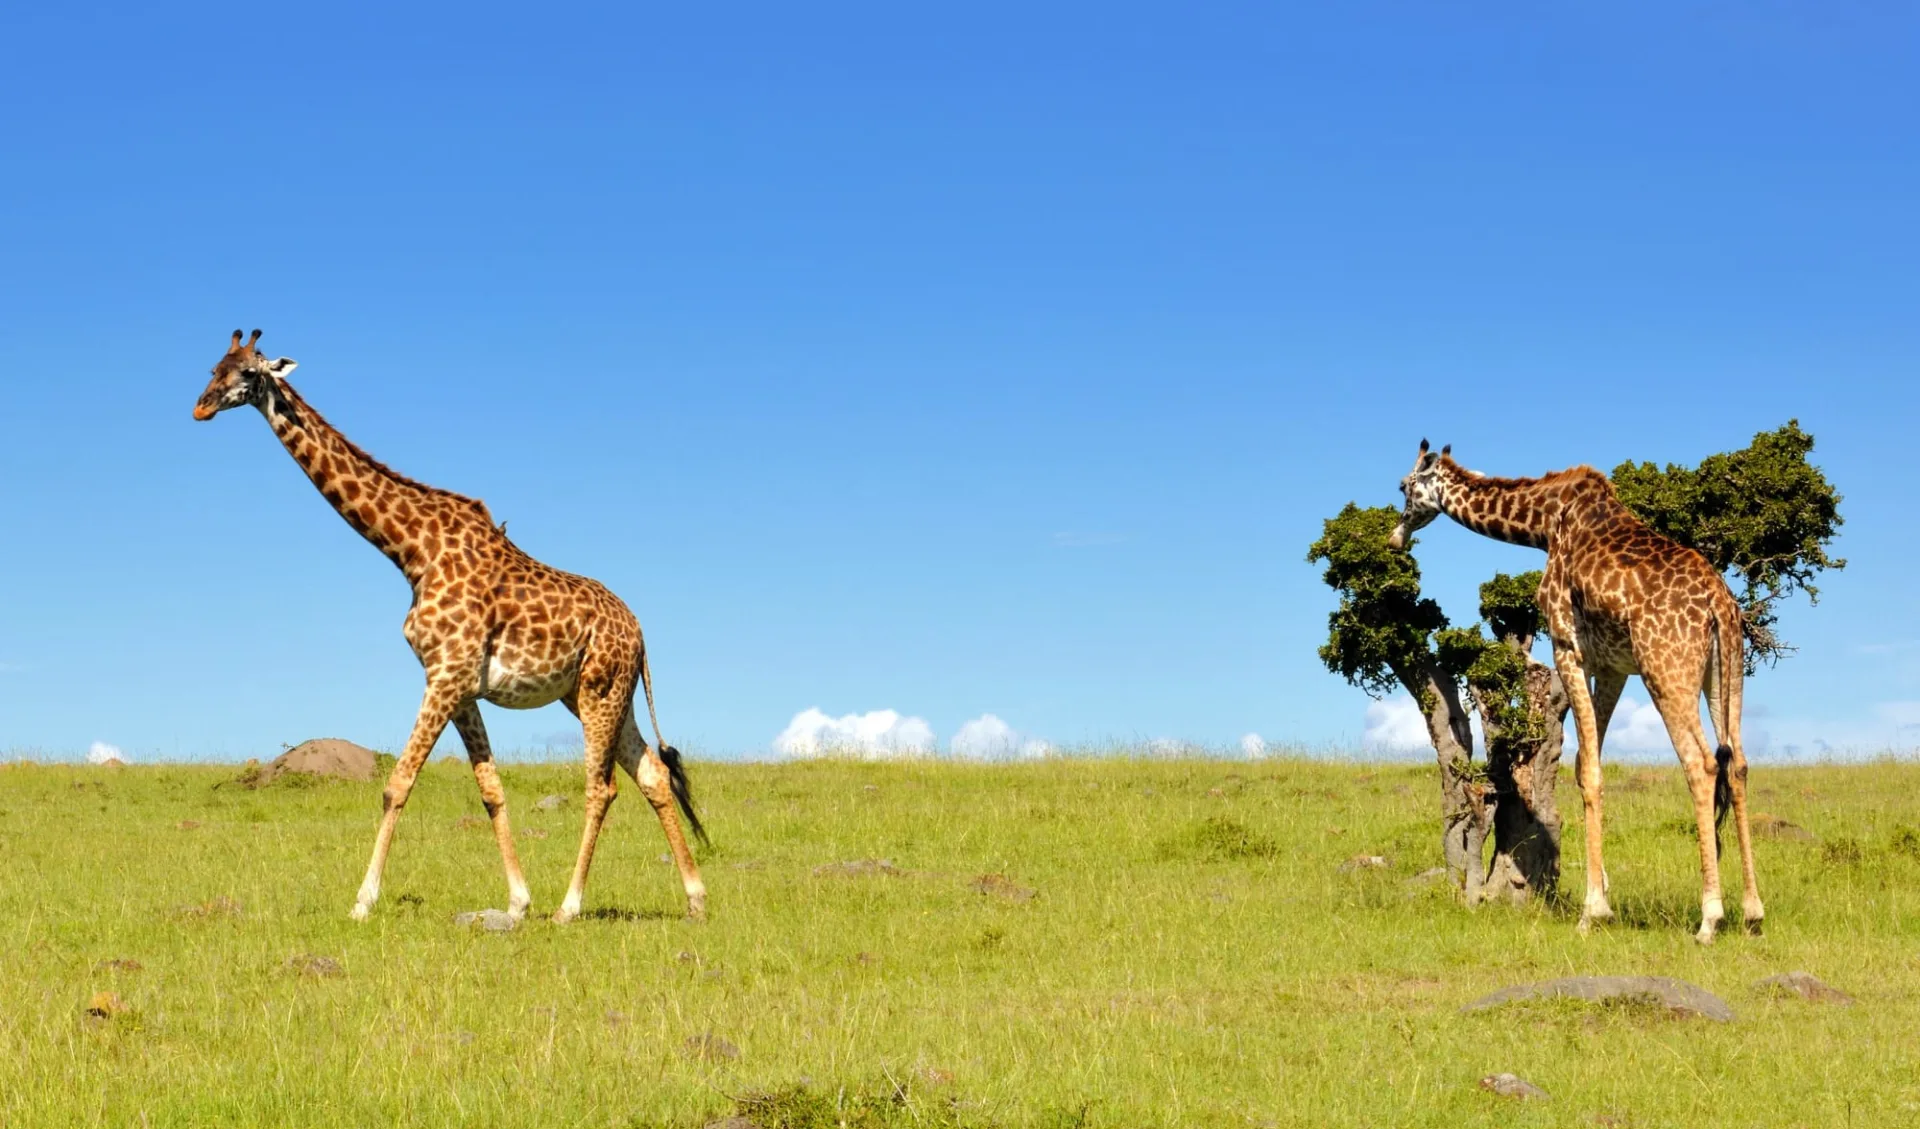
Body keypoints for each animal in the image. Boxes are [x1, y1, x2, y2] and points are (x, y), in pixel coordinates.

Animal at [192, 328, 714, 925]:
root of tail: (642, 635)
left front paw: (362, 901)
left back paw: (570, 906)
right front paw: (517, 900)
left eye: (248, 373)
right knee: (652, 774)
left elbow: (397, 784)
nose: (200, 407)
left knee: (600, 788)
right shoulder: (462, 686)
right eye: (213, 368)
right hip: (599, 694)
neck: (411, 551)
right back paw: (696, 898)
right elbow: (491, 789)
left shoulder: (443, 675)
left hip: (598, 692)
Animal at [1390, 441, 1758, 944]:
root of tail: (1719, 605)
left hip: (1666, 668)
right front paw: (1603, 898)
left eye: (1403, 486)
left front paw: (1593, 910)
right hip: (1727, 672)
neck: (1546, 524)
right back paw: (1753, 912)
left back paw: (1710, 919)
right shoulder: (1614, 667)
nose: (1395, 537)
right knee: (1736, 763)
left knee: (1700, 763)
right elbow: (1588, 762)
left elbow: (1588, 769)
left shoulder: (1567, 645)